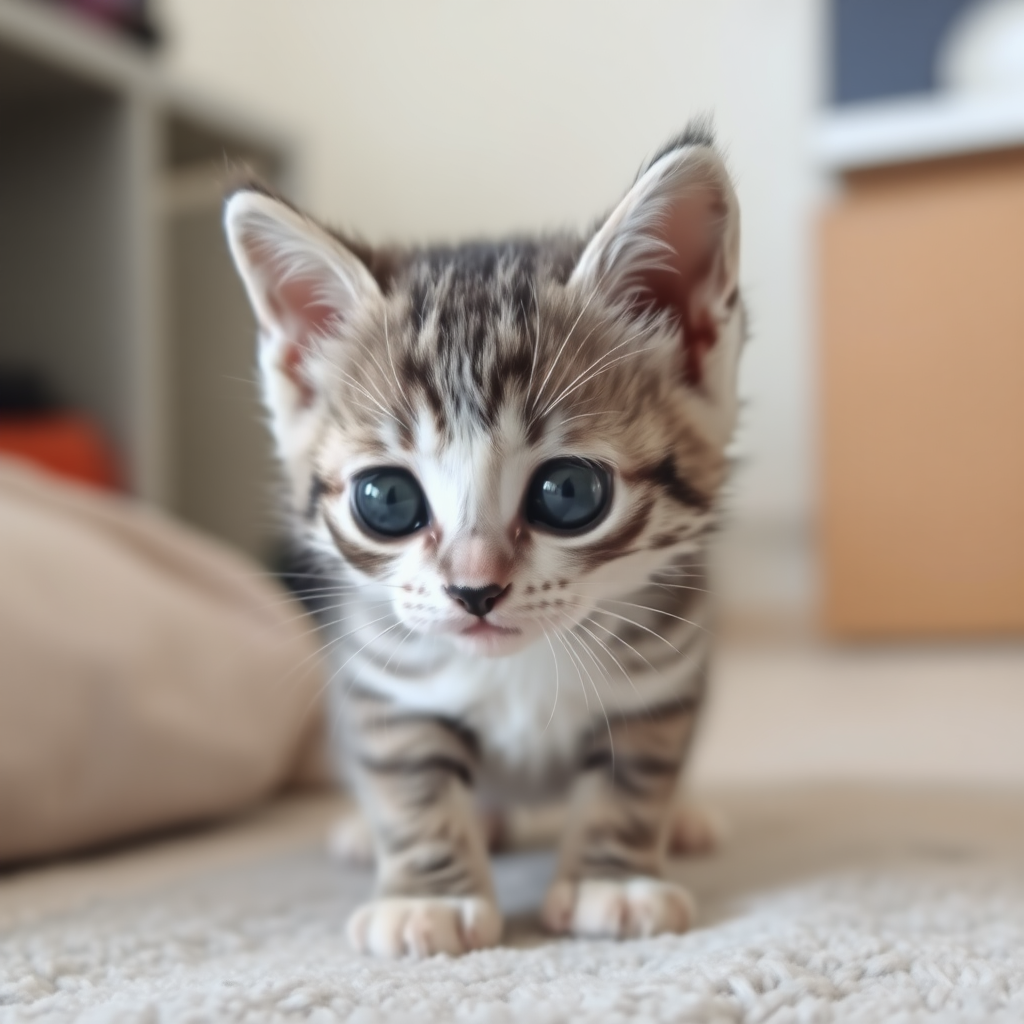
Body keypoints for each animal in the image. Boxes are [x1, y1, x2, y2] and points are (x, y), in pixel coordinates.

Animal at [226, 121, 745, 958]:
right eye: (387, 499)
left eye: (569, 493)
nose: (475, 589)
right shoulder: (386, 677)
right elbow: (410, 786)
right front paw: (428, 896)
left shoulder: (664, 667)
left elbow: (635, 778)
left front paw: (612, 881)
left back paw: (687, 819)